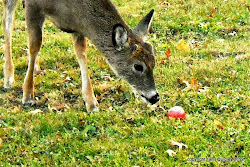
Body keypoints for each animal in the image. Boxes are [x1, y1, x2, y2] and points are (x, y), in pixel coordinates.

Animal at [2, 0, 159, 112]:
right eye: (138, 66)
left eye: (154, 62)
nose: (154, 97)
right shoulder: (33, 6)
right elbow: (34, 46)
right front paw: (28, 95)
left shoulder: (78, 26)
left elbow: (81, 54)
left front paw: (91, 102)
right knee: (7, 22)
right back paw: (8, 77)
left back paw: (34, 67)